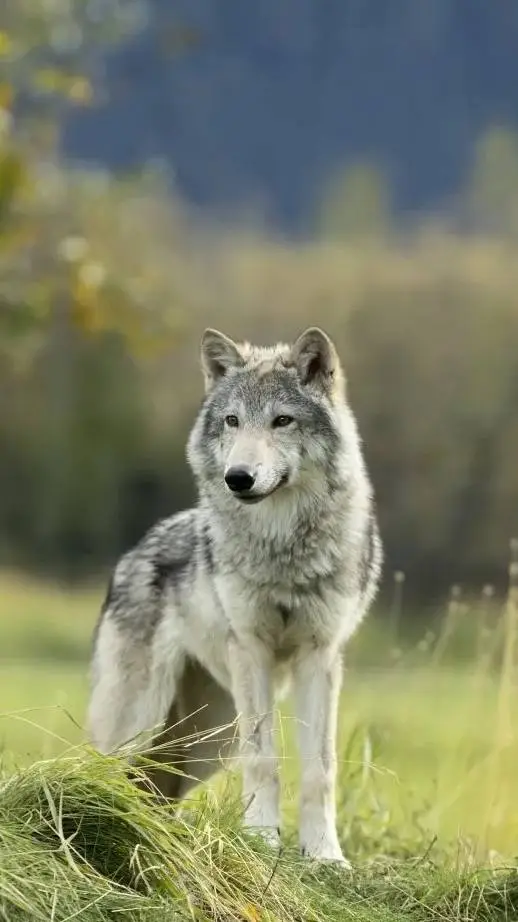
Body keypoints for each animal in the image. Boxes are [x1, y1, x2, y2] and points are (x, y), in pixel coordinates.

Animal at [88, 326, 382, 864]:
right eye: (232, 420)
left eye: (282, 420)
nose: (238, 478)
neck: (282, 549)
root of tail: (133, 551)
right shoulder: (252, 651)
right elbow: (264, 756)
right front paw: (262, 839)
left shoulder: (321, 656)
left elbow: (320, 767)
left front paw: (325, 854)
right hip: (142, 718)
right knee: (107, 766)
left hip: (208, 739)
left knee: (156, 785)